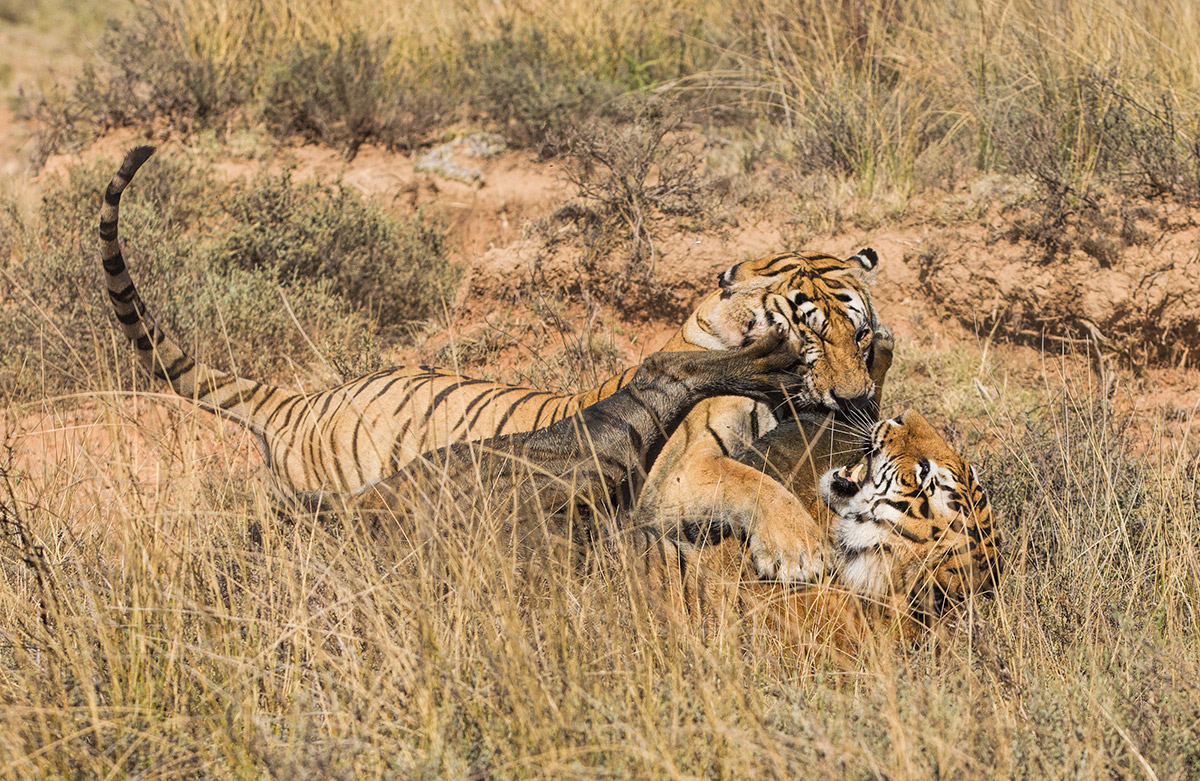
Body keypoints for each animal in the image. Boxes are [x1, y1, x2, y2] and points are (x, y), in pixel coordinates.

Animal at [101, 146, 882, 580]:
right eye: (814, 334)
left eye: (864, 336)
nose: (854, 400)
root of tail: (301, 401)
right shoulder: (677, 477)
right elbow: (752, 482)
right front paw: (798, 551)